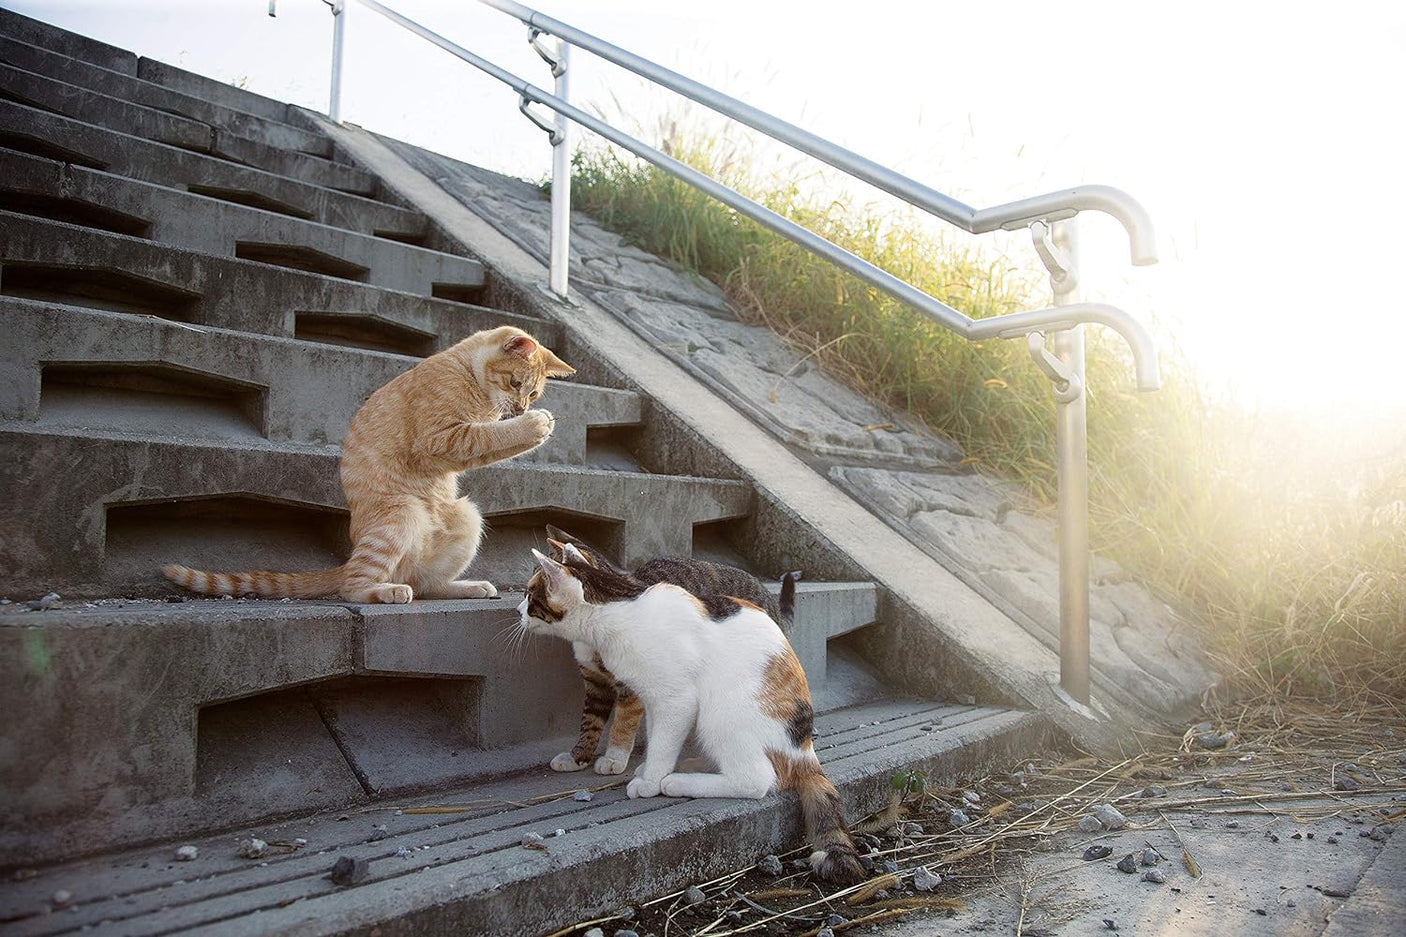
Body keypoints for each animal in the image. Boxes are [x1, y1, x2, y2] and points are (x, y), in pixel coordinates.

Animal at [165, 324, 576, 602]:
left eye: (533, 392)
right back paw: (384, 591)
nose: (521, 407)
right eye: (516, 383)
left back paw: (467, 586)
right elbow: (493, 436)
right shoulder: (443, 438)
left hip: (466, 516)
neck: (465, 369)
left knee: (426, 585)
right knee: (355, 587)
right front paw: (533, 425)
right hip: (400, 516)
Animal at [539, 526, 792, 770]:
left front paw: (614, 758)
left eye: (542, 581)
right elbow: (589, 721)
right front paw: (578, 756)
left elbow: (624, 722)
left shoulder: (632, 682)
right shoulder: (595, 683)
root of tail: (770, 599)